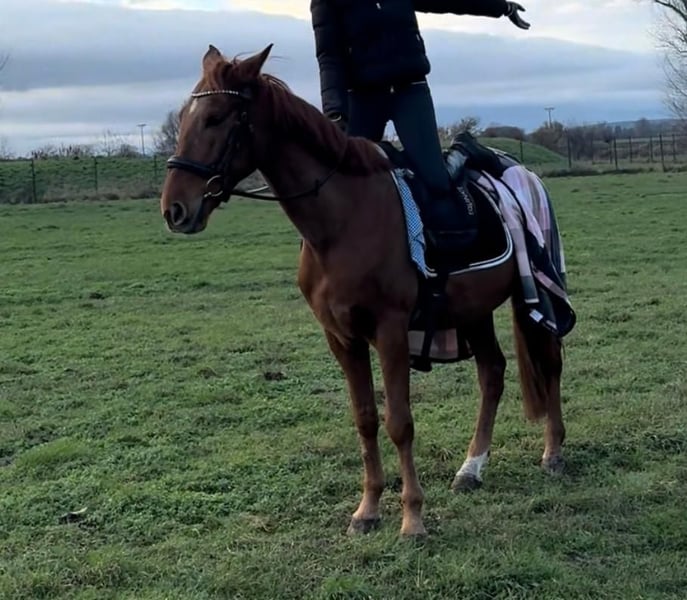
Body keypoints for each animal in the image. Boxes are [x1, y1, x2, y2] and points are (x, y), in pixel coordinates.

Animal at [160, 44, 568, 537]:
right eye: (186, 117)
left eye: (216, 118)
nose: (175, 209)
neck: (342, 222)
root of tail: (524, 173)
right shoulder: (342, 337)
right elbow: (366, 419)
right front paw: (368, 508)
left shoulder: (390, 331)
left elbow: (400, 423)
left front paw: (412, 517)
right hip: (473, 310)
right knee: (492, 372)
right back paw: (471, 468)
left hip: (534, 299)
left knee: (549, 364)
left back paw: (553, 452)